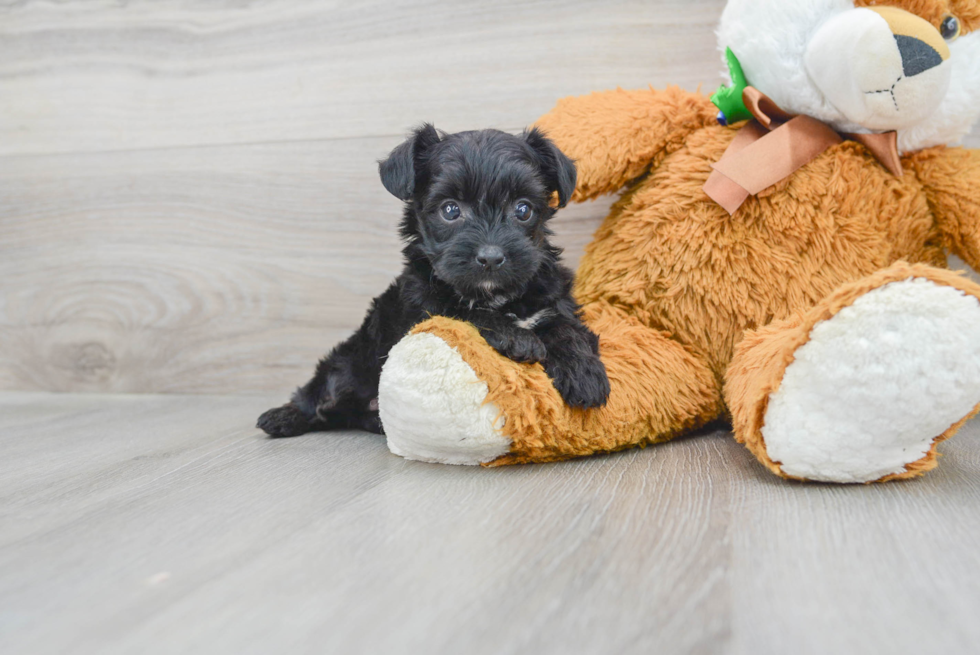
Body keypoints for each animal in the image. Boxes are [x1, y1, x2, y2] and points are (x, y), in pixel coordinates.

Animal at [258, 125, 612, 438]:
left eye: (523, 209)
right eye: (450, 210)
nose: (491, 256)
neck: (495, 296)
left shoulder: (553, 300)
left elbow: (566, 328)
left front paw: (584, 374)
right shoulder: (421, 311)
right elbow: (462, 313)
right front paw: (518, 338)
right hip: (350, 362)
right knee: (319, 397)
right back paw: (282, 417)